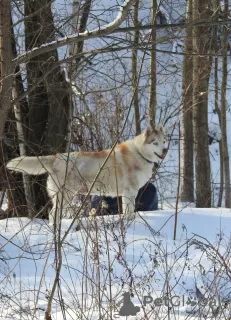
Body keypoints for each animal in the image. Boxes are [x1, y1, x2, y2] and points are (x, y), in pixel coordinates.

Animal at [5, 122, 168, 225]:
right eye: (155, 143)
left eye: (164, 141)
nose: (165, 150)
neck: (139, 153)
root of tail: (56, 157)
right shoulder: (129, 192)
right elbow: (130, 211)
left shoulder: (126, 194)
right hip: (65, 196)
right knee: (53, 213)